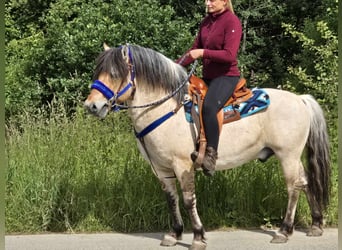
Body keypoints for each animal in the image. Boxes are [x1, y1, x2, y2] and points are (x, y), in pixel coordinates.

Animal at [84, 44, 330, 249]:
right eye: (98, 73)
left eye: (115, 74)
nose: (92, 106)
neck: (165, 108)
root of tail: (301, 99)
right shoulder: (161, 169)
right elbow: (171, 199)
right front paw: (174, 234)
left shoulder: (182, 165)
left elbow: (188, 199)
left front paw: (198, 237)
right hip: (294, 157)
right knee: (305, 181)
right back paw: (316, 225)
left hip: (287, 155)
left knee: (293, 187)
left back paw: (284, 231)